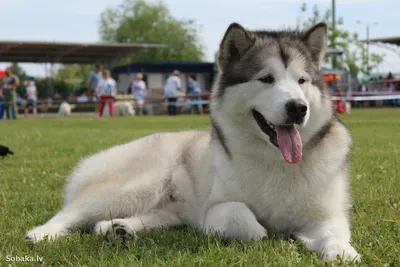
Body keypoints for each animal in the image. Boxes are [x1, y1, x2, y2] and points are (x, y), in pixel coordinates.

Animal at [26, 22, 360, 264]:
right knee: (70, 213)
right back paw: (42, 234)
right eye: (266, 79)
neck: (275, 160)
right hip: (137, 184)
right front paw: (269, 231)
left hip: (163, 208)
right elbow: (249, 223)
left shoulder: (328, 214)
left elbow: (335, 233)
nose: (298, 108)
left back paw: (118, 228)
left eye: (302, 81)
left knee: (118, 220)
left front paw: (342, 252)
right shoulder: (214, 210)